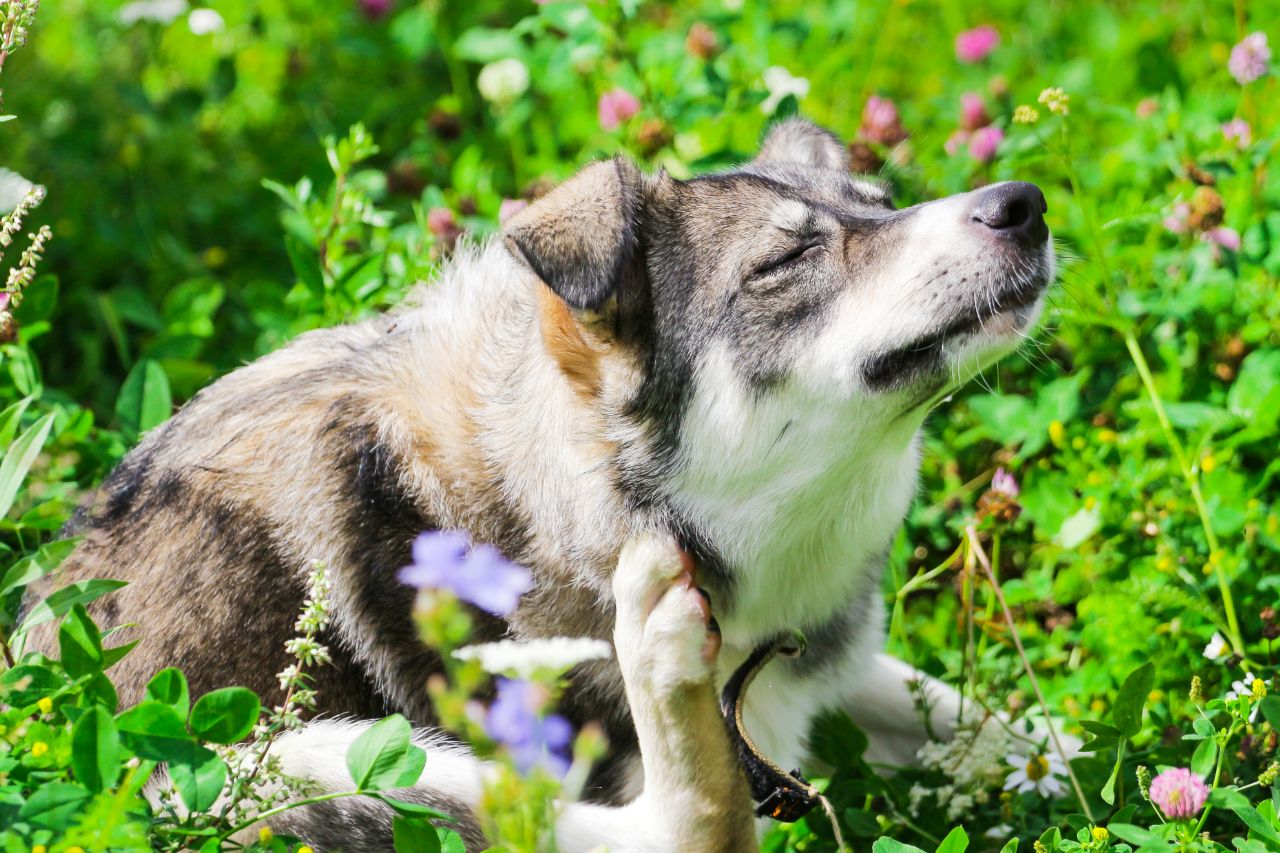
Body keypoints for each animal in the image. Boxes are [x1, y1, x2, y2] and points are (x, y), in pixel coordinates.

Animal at [30, 116, 1054, 845]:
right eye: (786, 258)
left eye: (883, 201)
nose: (1025, 203)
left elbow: (1005, 728)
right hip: (286, 763)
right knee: (677, 831)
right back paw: (661, 654)